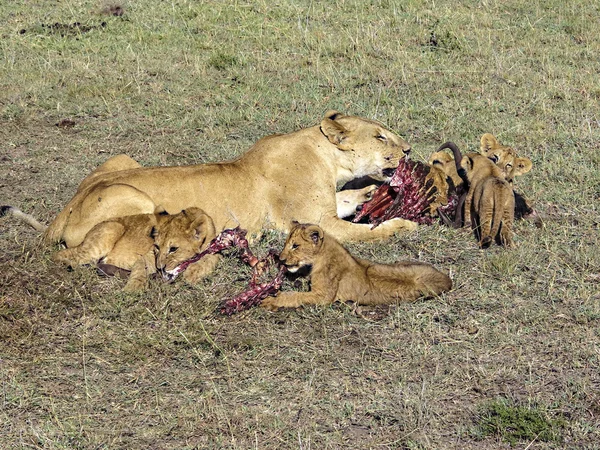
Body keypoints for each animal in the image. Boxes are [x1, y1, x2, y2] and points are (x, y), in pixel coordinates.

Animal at [44, 110, 418, 248]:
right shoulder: (314, 224)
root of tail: (65, 210)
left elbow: (347, 200)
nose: (409, 150)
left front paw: (371, 192)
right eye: (381, 137)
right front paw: (404, 225)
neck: (327, 159)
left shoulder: (325, 208)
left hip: (121, 159)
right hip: (134, 196)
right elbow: (370, 231)